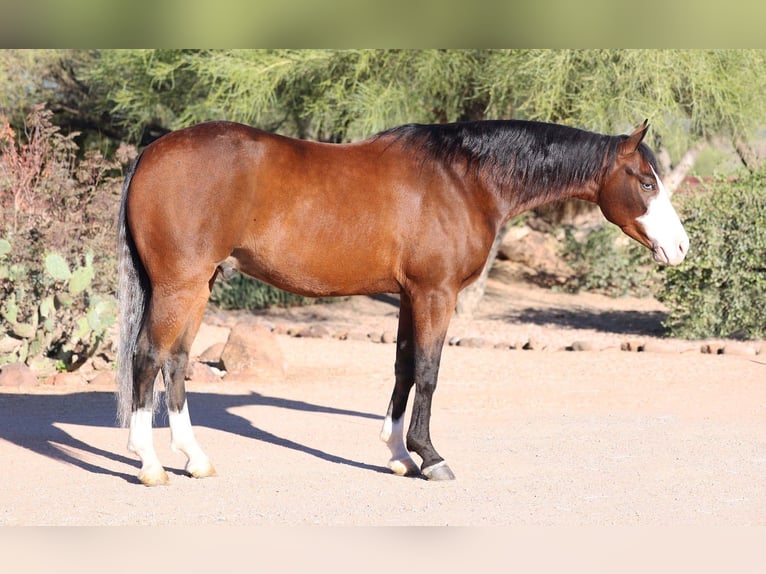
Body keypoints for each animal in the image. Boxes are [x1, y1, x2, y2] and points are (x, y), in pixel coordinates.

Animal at [117, 118, 689, 486]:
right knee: (147, 358)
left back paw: (195, 459)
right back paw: (149, 464)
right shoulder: (436, 293)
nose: (681, 247)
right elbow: (429, 372)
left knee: (176, 361)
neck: (462, 178)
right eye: (646, 182)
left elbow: (404, 368)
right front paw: (430, 457)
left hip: (200, 285)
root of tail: (149, 154)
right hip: (179, 285)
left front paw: (398, 454)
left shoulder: (411, 295)